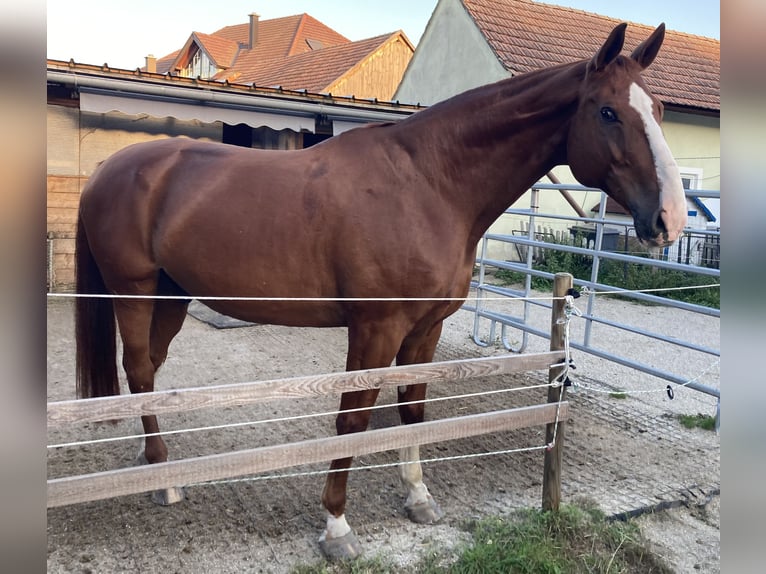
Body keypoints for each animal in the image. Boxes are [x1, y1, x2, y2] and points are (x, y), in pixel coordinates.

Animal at [75, 24, 688, 560]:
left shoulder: (426, 328)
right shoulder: (376, 329)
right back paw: (163, 476)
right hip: (133, 292)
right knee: (140, 370)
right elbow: (353, 420)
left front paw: (419, 499)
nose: (670, 220)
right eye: (607, 111)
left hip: (171, 296)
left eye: (660, 111)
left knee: (150, 372)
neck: (428, 183)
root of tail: (110, 167)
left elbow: (413, 409)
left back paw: (160, 461)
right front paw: (337, 527)